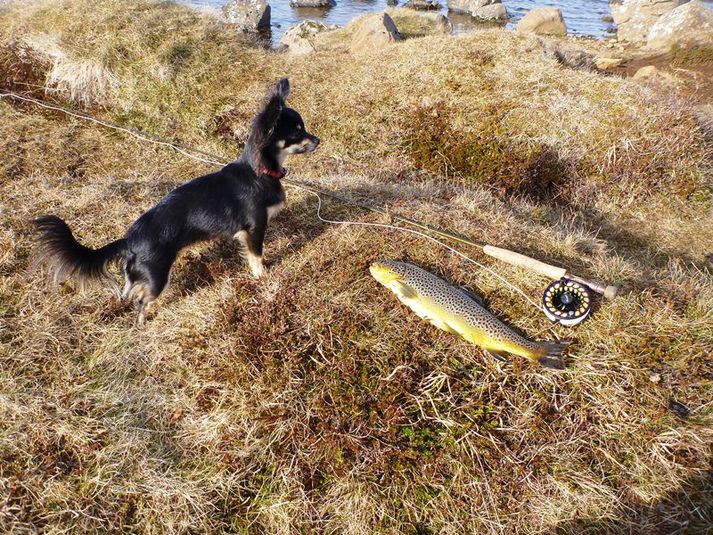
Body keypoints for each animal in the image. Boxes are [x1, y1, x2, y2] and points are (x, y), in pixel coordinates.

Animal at [34, 78, 318, 324]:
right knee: (141, 301)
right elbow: (256, 256)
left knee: (129, 290)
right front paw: (263, 277)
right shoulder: (254, 228)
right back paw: (142, 324)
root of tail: (130, 240)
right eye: (296, 133)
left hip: (140, 276)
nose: (318, 140)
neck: (260, 172)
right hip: (158, 276)